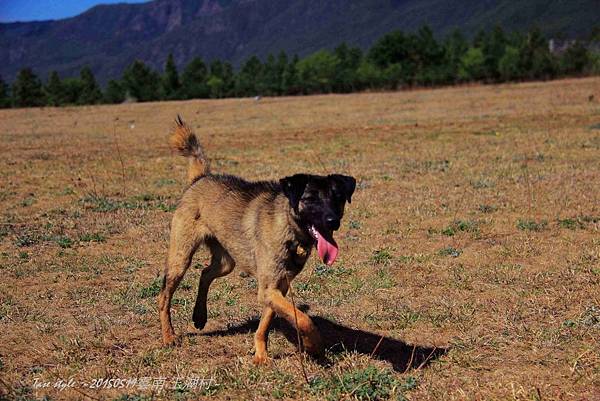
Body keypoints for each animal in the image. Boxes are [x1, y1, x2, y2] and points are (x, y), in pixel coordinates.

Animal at [159, 115, 356, 362]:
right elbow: (303, 319)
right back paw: (168, 336)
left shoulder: (278, 287)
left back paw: (199, 316)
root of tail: (201, 177)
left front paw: (261, 354)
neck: (290, 231)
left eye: (337, 198)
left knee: (205, 274)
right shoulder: (269, 289)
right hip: (181, 259)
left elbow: (266, 323)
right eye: (310, 199)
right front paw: (313, 345)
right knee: (164, 297)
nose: (332, 222)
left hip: (226, 262)